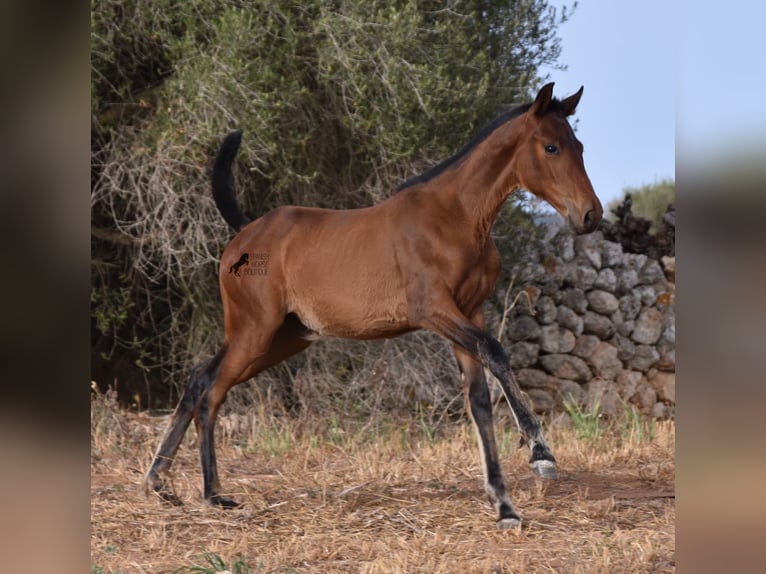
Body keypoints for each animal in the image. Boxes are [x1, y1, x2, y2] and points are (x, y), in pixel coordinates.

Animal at [146, 82, 608, 532]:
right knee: (212, 391)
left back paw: (160, 483)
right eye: (551, 147)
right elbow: (495, 353)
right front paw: (540, 452)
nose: (591, 215)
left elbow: (478, 401)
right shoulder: (433, 310)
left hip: (282, 337)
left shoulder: (469, 313)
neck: (456, 217)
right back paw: (211, 494)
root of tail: (245, 232)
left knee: (199, 377)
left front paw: (504, 506)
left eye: (581, 146)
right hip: (255, 332)